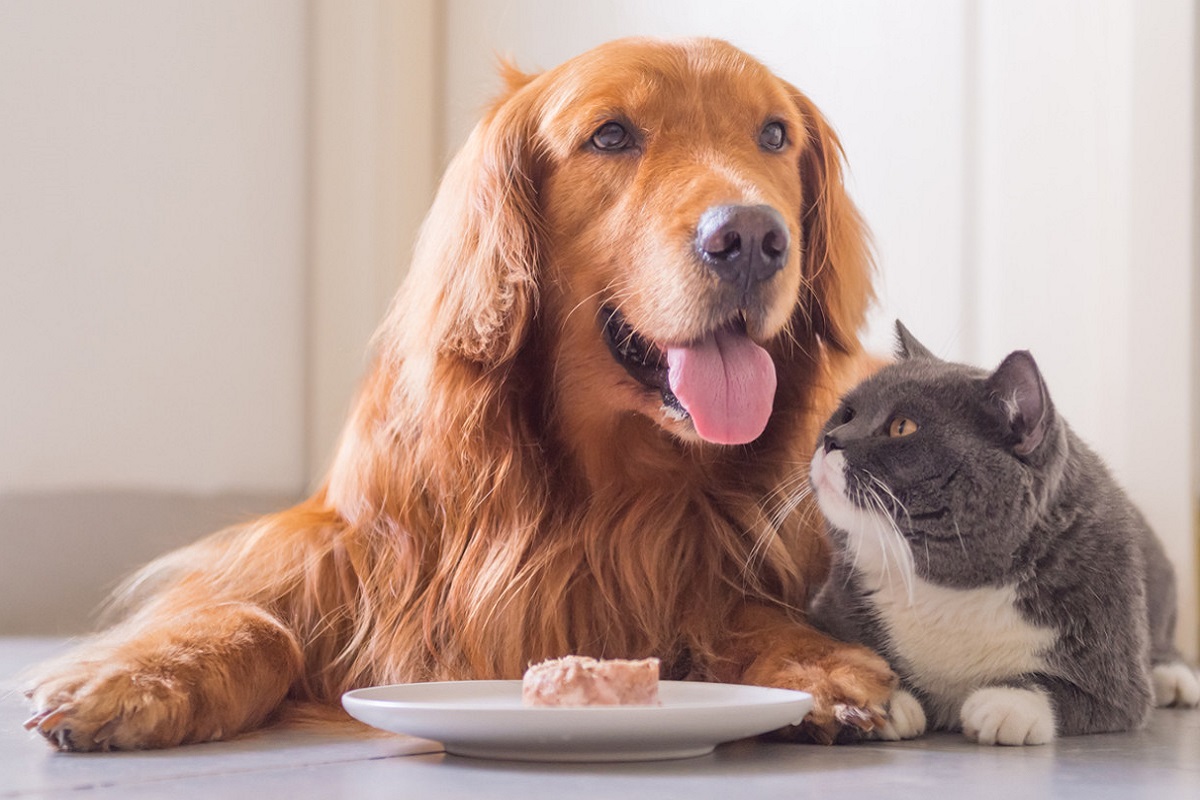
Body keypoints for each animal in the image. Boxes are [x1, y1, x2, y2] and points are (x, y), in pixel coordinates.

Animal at [25, 37, 892, 753]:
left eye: (774, 135)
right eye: (611, 135)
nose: (751, 237)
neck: (606, 492)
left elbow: (745, 610)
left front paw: (815, 664)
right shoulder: (333, 545)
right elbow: (246, 616)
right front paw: (140, 674)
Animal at [811, 323, 1195, 743]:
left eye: (902, 427)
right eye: (846, 413)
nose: (831, 439)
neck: (948, 592)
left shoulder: (1117, 675)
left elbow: (1071, 692)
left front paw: (1007, 704)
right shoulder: (828, 609)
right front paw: (880, 696)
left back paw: (1174, 677)